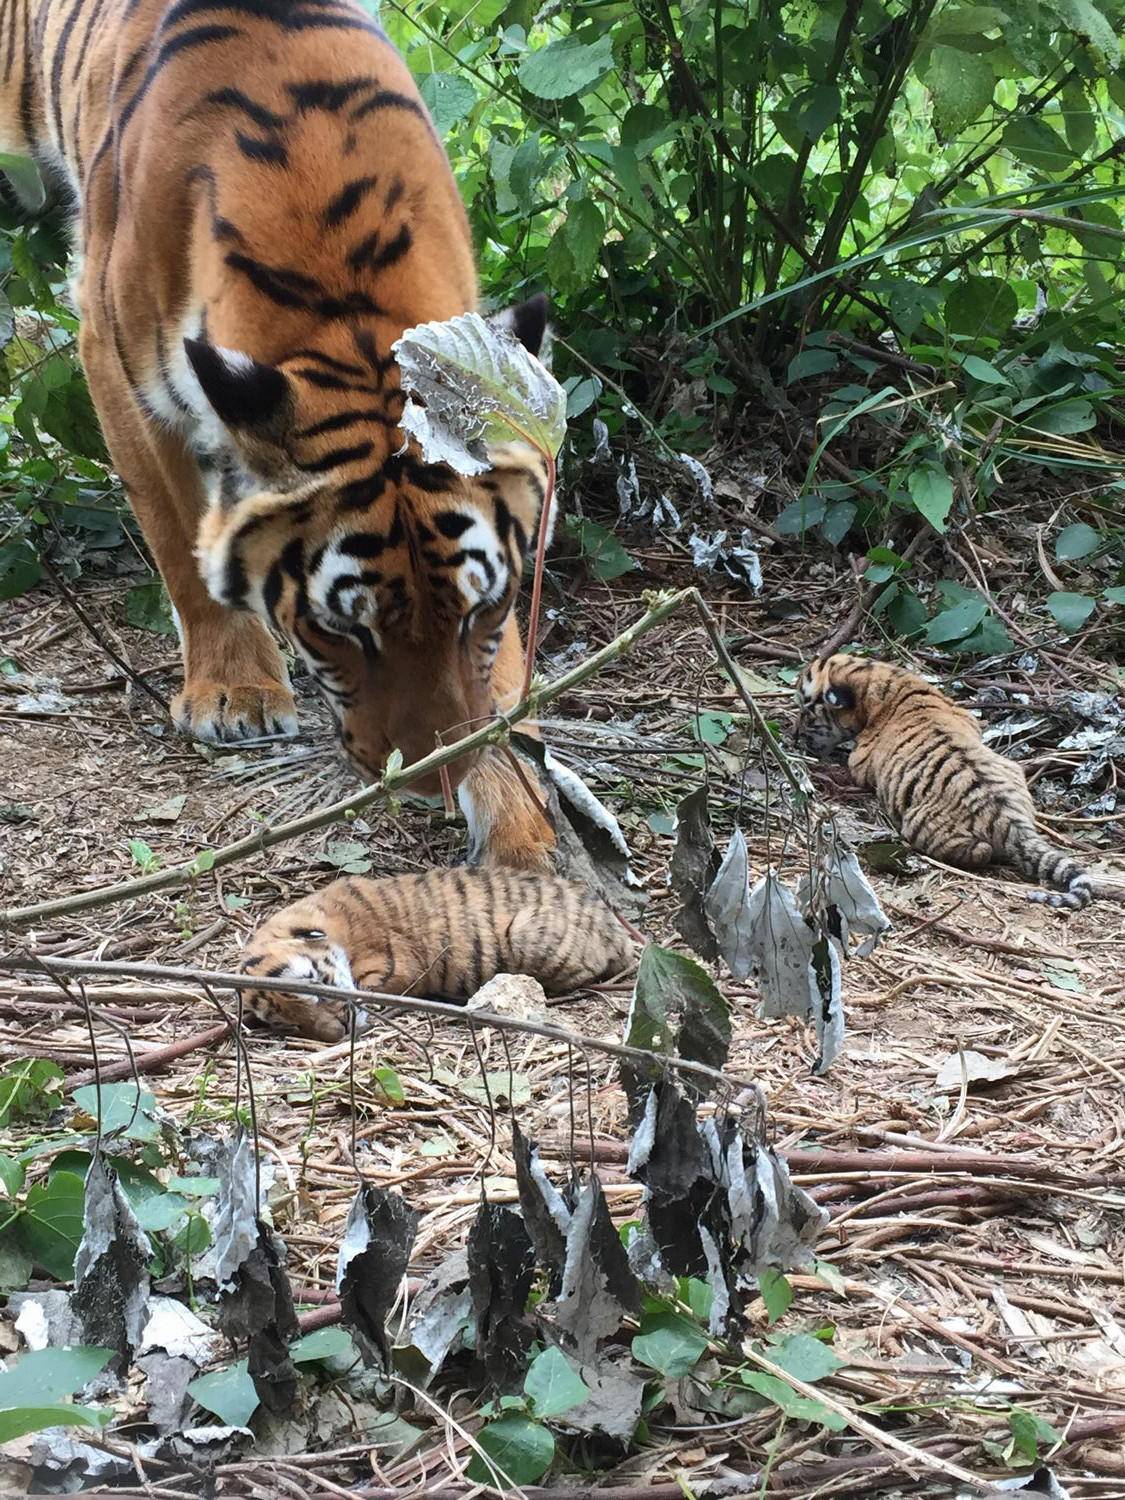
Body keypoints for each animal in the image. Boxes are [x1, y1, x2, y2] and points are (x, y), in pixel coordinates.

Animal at [0, 0, 561, 870]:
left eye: (479, 610)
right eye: (339, 629)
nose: (434, 781)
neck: (343, 297)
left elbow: (499, 676)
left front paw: (521, 830)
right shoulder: (114, 361)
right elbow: (181, 544)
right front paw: (236, 691)